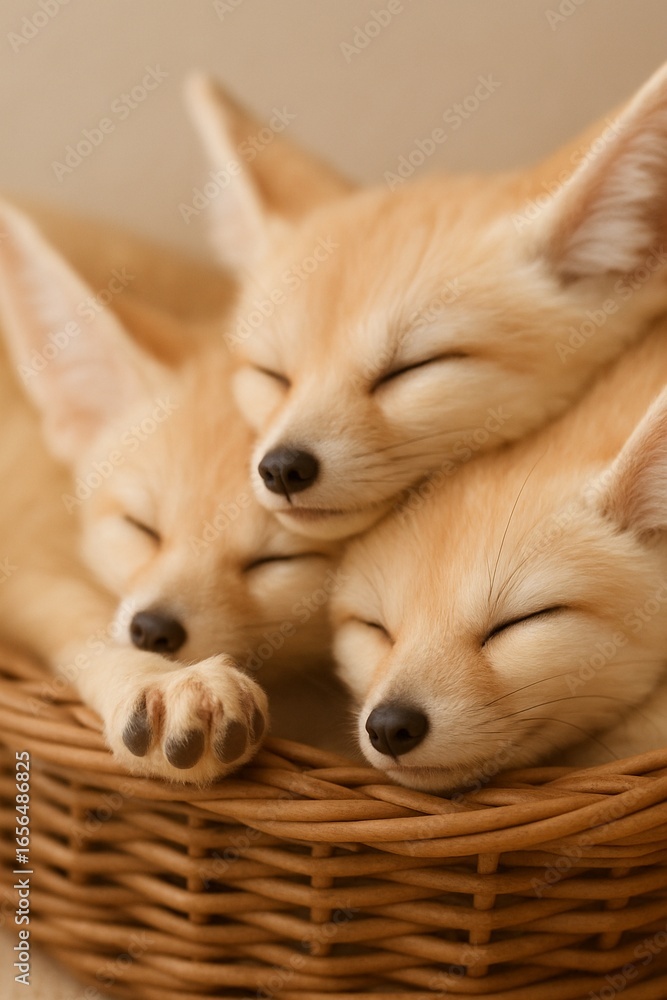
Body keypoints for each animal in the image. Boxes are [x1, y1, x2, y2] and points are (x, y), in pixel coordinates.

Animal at [0, 201, 339, 784]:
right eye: (142, 528)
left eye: (276, 561)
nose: (153, 630)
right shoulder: (25, 557)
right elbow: (81, 616)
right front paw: (154, 680)